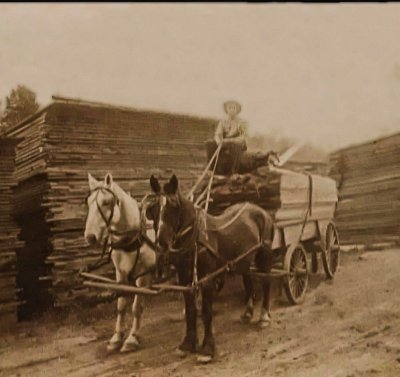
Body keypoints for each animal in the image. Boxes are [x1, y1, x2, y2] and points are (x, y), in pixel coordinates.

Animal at [84, 172, 156, 352]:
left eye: (106, 202)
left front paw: (132, 338)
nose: (90, 237)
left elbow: (136, 308)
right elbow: (121, 305)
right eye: (88, 202)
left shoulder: (144, 275)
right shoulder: (120, 273)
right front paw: (117, 337)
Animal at [147, 175, 276, 362]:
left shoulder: (207, 279)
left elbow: (206, 313)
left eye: (174, 206)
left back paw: (264, 316)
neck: (195, 237)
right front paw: (187, 344)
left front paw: (207, 349)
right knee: (248, 281)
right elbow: (191, 311)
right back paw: (247, 313)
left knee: (266, 282)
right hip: (243, 260)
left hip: (264, 255)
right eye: (153, 208)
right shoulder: (185, 279)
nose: (162, 243)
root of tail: (260, 210)